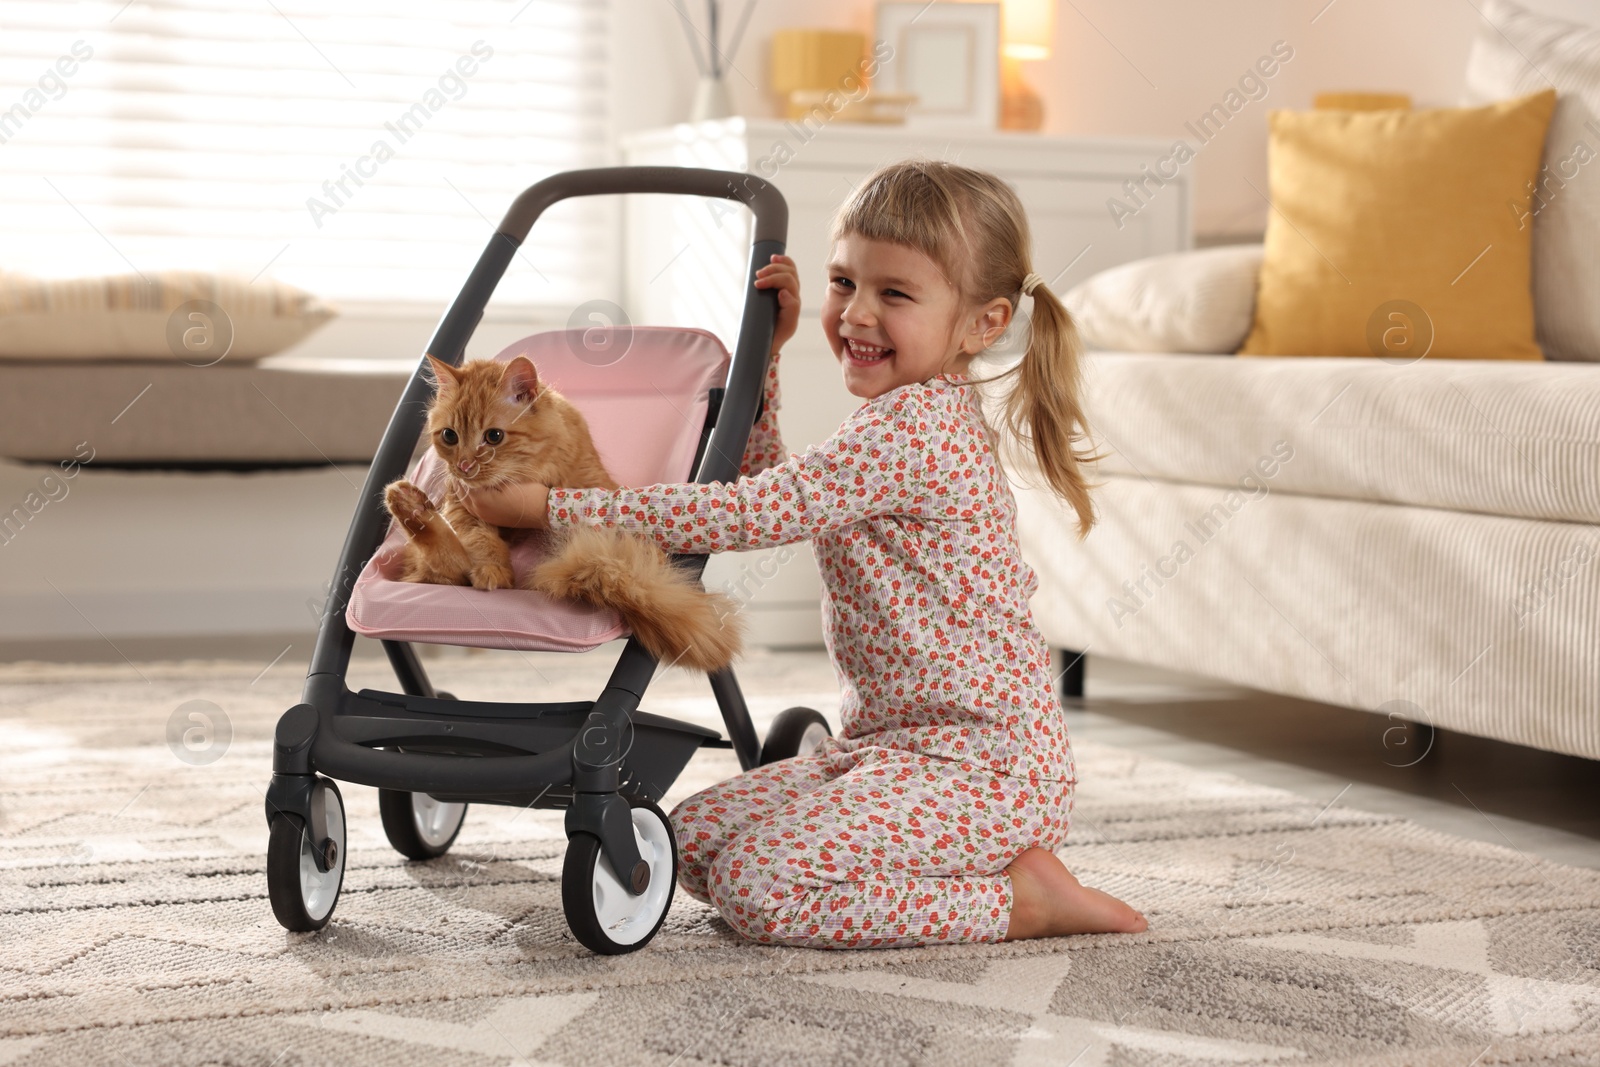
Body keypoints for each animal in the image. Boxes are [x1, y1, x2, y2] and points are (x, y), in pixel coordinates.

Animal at [380, 358, 742, 675]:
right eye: (449, 436)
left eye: (493, 436)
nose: (465, 466)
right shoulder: (462, 505)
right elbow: (481, 543)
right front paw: (494, 570)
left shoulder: (592, 484)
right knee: (448, 565)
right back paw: (408, 502)